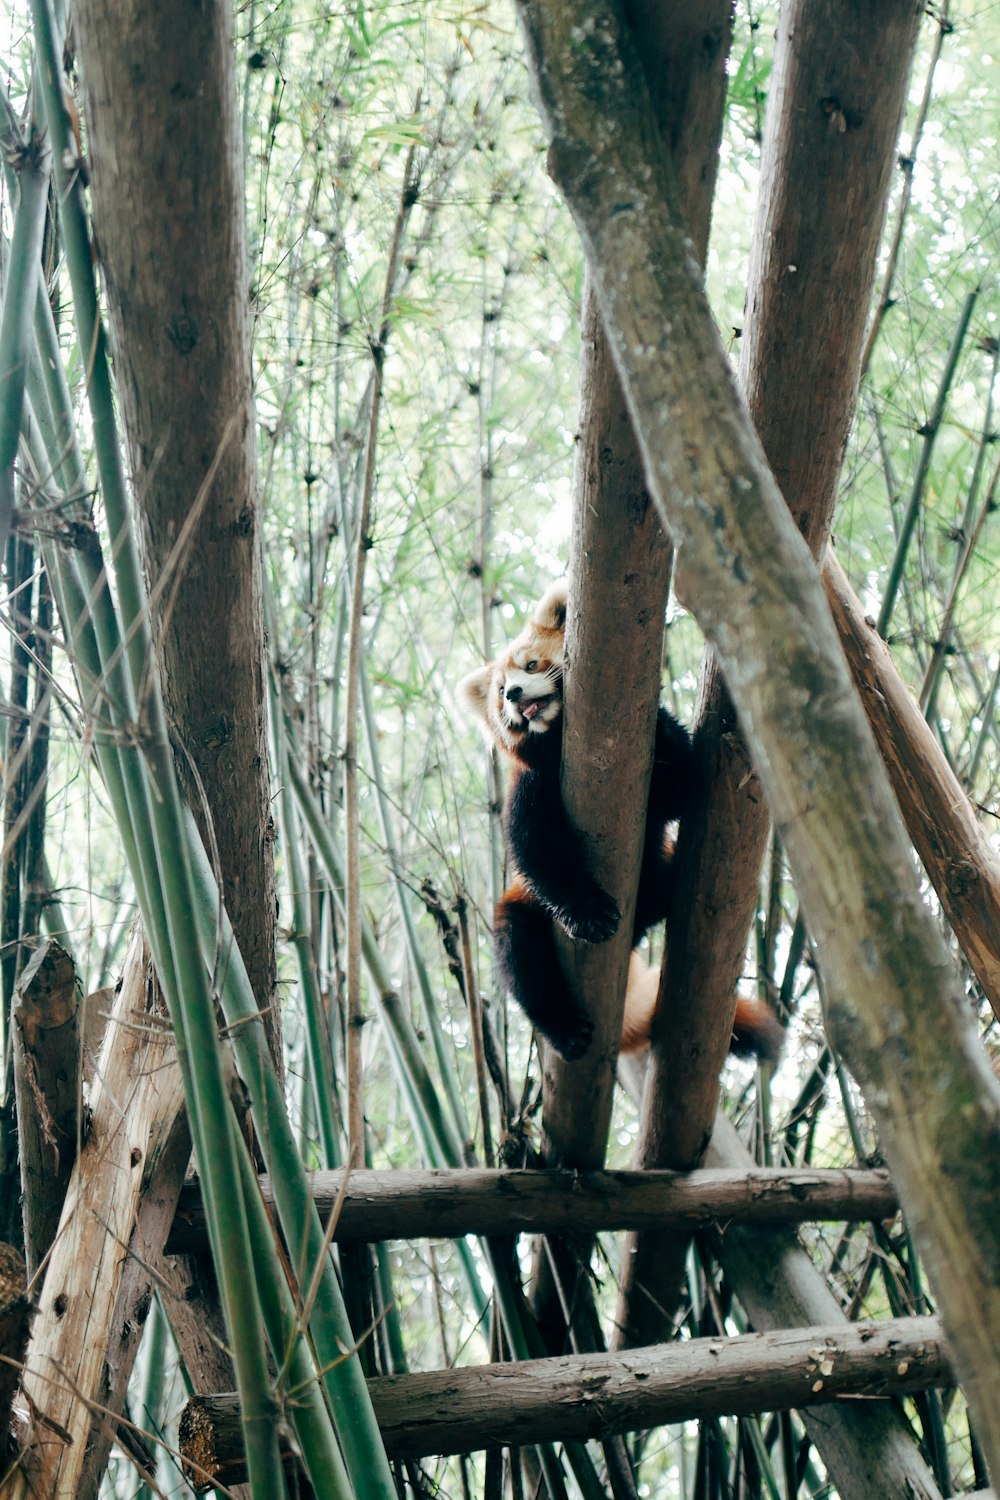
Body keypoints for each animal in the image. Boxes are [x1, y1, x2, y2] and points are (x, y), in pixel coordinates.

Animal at [458, 576, 779, 1068]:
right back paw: (564, 1027)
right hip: (522, 911)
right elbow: (538, 851)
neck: (557, 739)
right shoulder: (531, 787)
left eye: (530, 665)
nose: (513, 694)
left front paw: (661, 714)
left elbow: (683, 784)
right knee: (519, 952)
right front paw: (587, 913)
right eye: (499, 691)